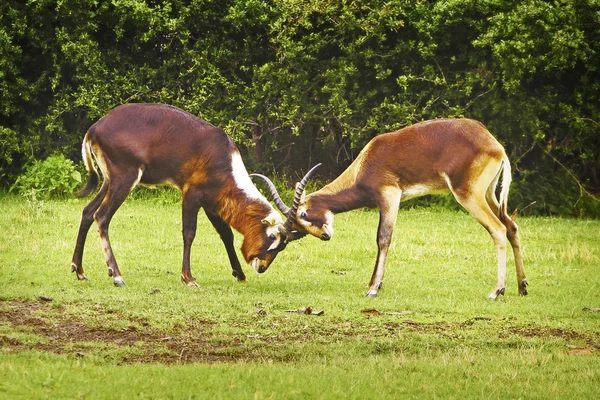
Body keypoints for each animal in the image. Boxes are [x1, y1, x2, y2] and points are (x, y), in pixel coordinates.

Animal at [71, 101, 314, 286]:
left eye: (282, 246)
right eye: (272, 237)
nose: (261, 266)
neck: (221, 157)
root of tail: (95, 128)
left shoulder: (211, 202)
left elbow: (226, 234)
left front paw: (240, 275)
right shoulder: (191, 195)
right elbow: (189, 233)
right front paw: (188, 278)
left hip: (109, 182)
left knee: (87, 212)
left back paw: (79, 270)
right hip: (124, 180)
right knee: (101, 216)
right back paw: (117, 276)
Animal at [255, 117, 528, 298]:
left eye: (302, 214)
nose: (325, 235)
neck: (366, 163)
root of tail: (495, 145)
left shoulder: (390, 196)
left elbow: (383, 238)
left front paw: (373, 289)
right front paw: (374, 284)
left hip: (469, 196)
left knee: (498, 229)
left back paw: (497, 290)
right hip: (490, 195)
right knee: (511, 226)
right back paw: (522, 286)